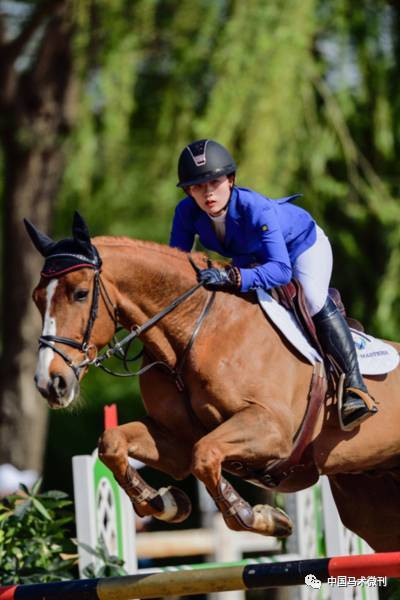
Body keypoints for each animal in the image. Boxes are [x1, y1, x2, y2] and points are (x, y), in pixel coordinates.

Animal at [25, 213, 400, 552]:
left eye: (80, 293)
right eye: (37, 298)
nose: (50, 383)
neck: (195, 330)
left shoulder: (273, 429)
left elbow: (204, 456)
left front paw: (259, 517)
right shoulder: (174, 440)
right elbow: (113, 443)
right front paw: (166, 503)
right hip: (370, 504)